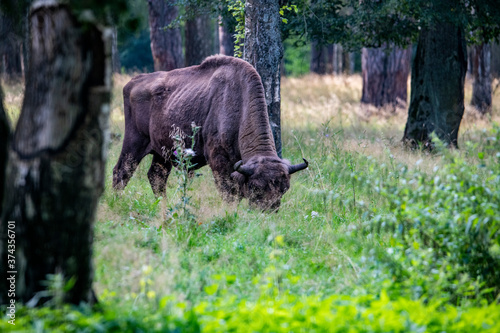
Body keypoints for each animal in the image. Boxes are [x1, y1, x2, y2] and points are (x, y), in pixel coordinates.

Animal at [114, 55, 308, 210]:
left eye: (284, 188)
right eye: (256, 187)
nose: (268, 211)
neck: (240, 103)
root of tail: (132, 83)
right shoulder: (219, 161)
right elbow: (228, 192)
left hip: (163, 153)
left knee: (156, 177)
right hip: (134, 143)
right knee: (121, 171)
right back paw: (116, 202)